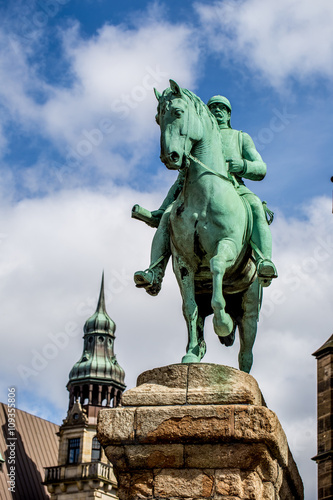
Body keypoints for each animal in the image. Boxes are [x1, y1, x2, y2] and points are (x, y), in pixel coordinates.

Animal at [154, 80, 260, 374]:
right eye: (157, 118)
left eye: (178, 112)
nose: (170, 156)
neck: (204, 193)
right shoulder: (183, 263)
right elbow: (189, 308)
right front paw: (190, 354)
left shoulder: (228, 246)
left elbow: (216, 266)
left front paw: (223, 324)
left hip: (250, 305)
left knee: (246, 352)